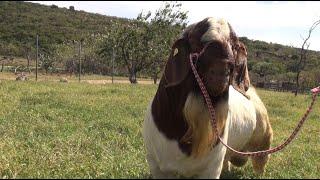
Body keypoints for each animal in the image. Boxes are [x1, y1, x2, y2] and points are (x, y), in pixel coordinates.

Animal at [142, 17, 272, 179]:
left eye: (234, 44)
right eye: (193, 39)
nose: (220, 68)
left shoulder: (211, 168)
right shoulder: (156, 165)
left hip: (264, 140)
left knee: (261, 161)